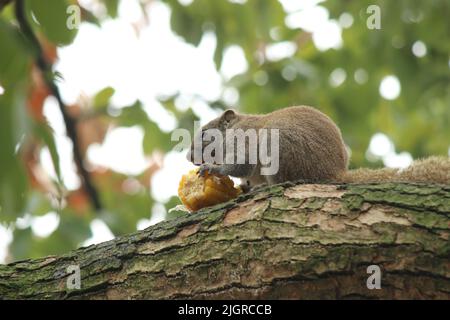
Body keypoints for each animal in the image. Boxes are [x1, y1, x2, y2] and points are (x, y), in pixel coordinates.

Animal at [187, 106, 450, 189]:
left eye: (205, 134)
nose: (189, 156)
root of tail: (333, 173)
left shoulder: (243, 139)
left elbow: (242, 164)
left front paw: (213, 168)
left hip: (281, 145)